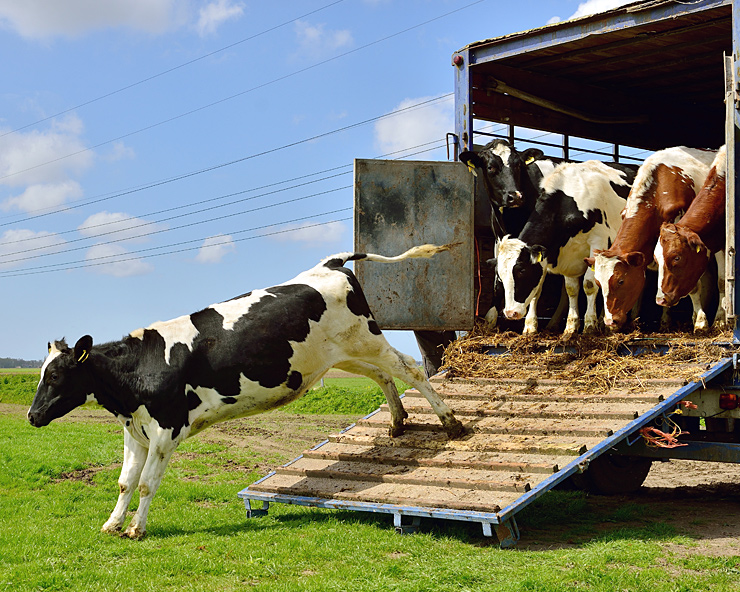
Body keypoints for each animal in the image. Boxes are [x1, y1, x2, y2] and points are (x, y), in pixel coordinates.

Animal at [30, 243, 468, 540]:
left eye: (56, 377)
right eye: (41, 374)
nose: (33, 416)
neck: (139, 371)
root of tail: (328, 265)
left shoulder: (166, 430)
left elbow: (145, 484)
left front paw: (136, 529)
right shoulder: (134, 431)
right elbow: (124, 483)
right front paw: (112, 523)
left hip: (366, 338)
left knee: (409, 368)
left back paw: (451, 423)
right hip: (340, 355)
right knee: (383, 376)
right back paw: (397, 421)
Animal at [494, 160, 632, 340]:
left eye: (521, 270)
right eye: (500, 277)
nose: (510, 313)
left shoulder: (598, 241)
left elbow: (589, 284)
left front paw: (589, 325)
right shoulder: (564, 254)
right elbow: (567, 289)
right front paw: (566, 327)